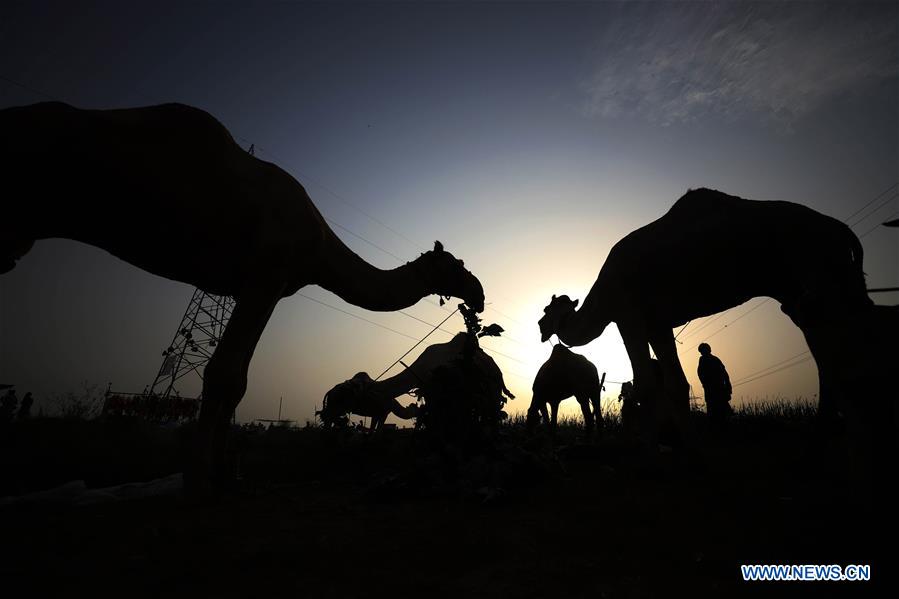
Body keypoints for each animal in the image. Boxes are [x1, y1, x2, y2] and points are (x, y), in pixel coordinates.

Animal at [3, 102, 486, 492]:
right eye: (456, 264)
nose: (480, 294)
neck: (318, 248)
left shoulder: (252, 287)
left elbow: (234, 380)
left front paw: (226, 474)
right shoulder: (266, 275)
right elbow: (226, 376)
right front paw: (202, 479)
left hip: (22, 228)